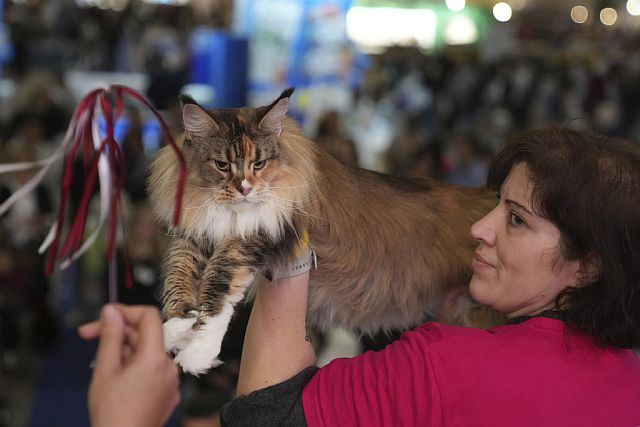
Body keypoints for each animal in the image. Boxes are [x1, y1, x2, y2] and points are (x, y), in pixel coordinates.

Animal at [148, 88, 498, 374]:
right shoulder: (195, 234)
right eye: (222, 165)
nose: (245, 188)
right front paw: (175, 330)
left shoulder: (257, 234)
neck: (231, 215)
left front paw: (198, 353)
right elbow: (178, 276)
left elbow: (218, 285)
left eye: (259, 163)